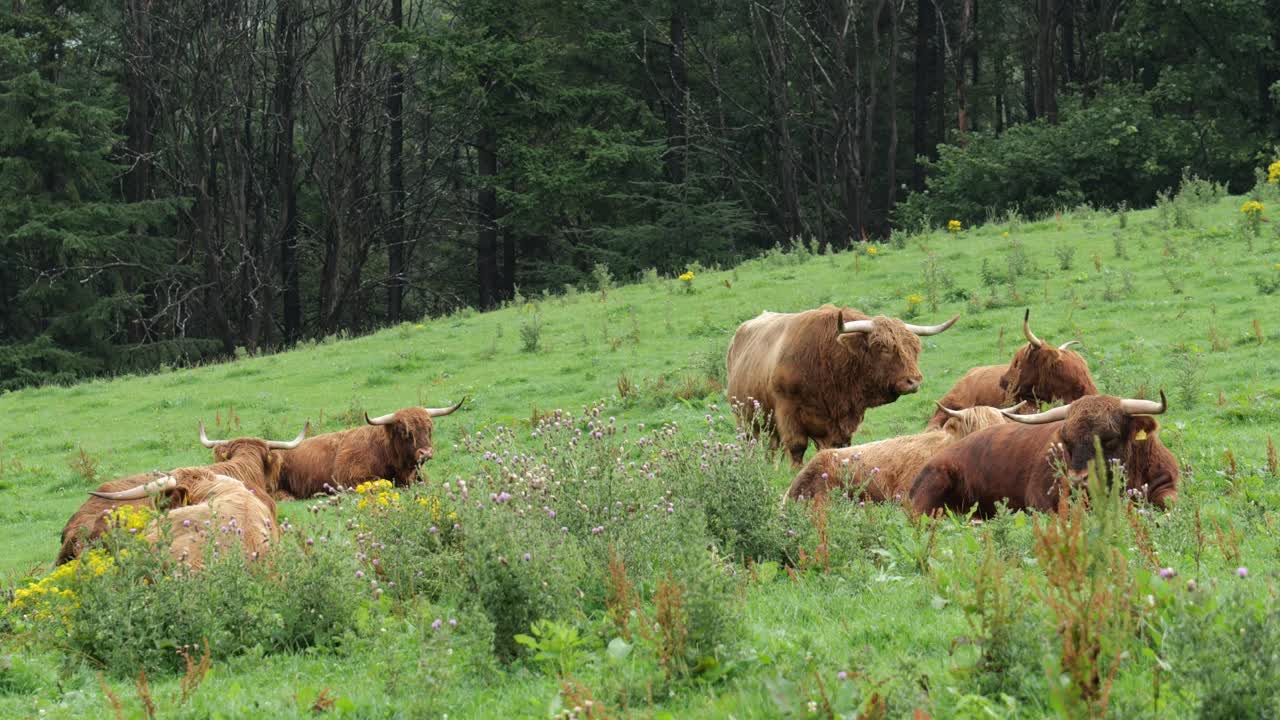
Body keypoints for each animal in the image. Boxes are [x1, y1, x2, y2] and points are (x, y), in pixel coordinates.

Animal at [726, 304, 958, 466]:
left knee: (771, 447)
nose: (914, 380)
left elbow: (839, 449)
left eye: (914, 347)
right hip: (744, 418)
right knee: (753, 442)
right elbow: (797, 448)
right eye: (883, 347)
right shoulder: (788, 411)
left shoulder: (841, 424)